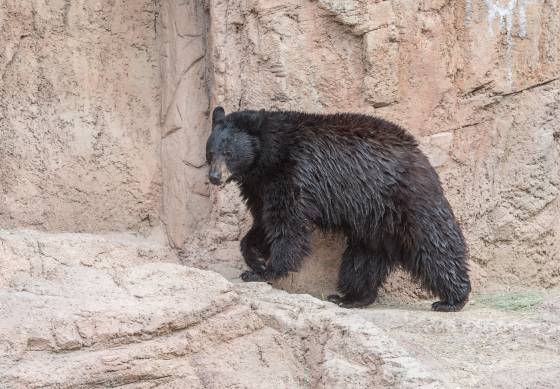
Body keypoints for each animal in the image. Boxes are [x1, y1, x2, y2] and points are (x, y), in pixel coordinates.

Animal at [205, 105, 468, 310]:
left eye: (228, 152)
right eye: (210, 152)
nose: (214, 177)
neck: (267, 158)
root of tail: (419, 153)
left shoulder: (293, 174)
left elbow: (287, 225)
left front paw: (265, 271)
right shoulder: (259, 187)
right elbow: (263, 222)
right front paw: (256, 258)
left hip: (405, 198)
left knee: (432, 242)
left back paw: (452, 298)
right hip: (374, 220)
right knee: (364, 258)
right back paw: (352, 297)